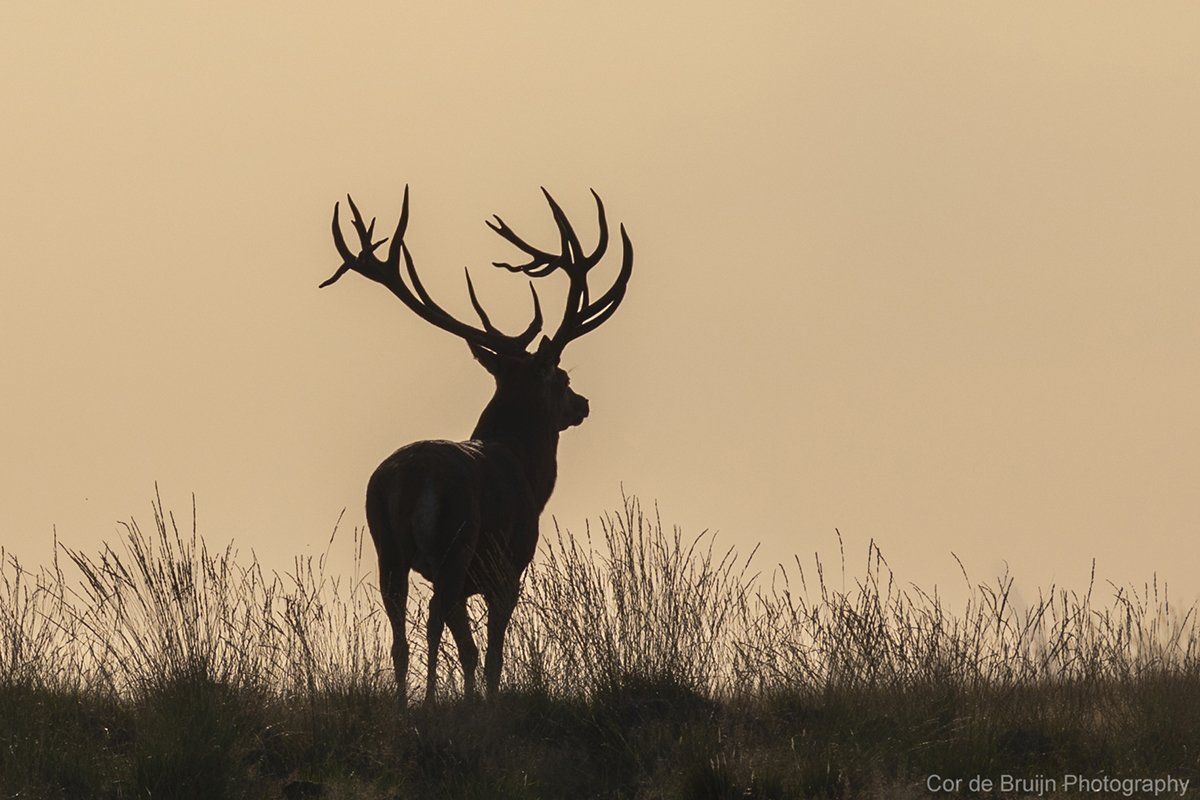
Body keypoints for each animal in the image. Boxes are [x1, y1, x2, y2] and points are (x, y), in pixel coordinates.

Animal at [320, 185, 633, 705]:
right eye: (562, 378)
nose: (583, 404)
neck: (527, 471)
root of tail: (410, 478)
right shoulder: (508, 567)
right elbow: (491, 655)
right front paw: (484, 704)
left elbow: (465, 646)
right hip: (456, 540)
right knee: (433, 624)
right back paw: (429, 703)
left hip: (389, 548)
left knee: (401, 635)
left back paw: (406, 704)